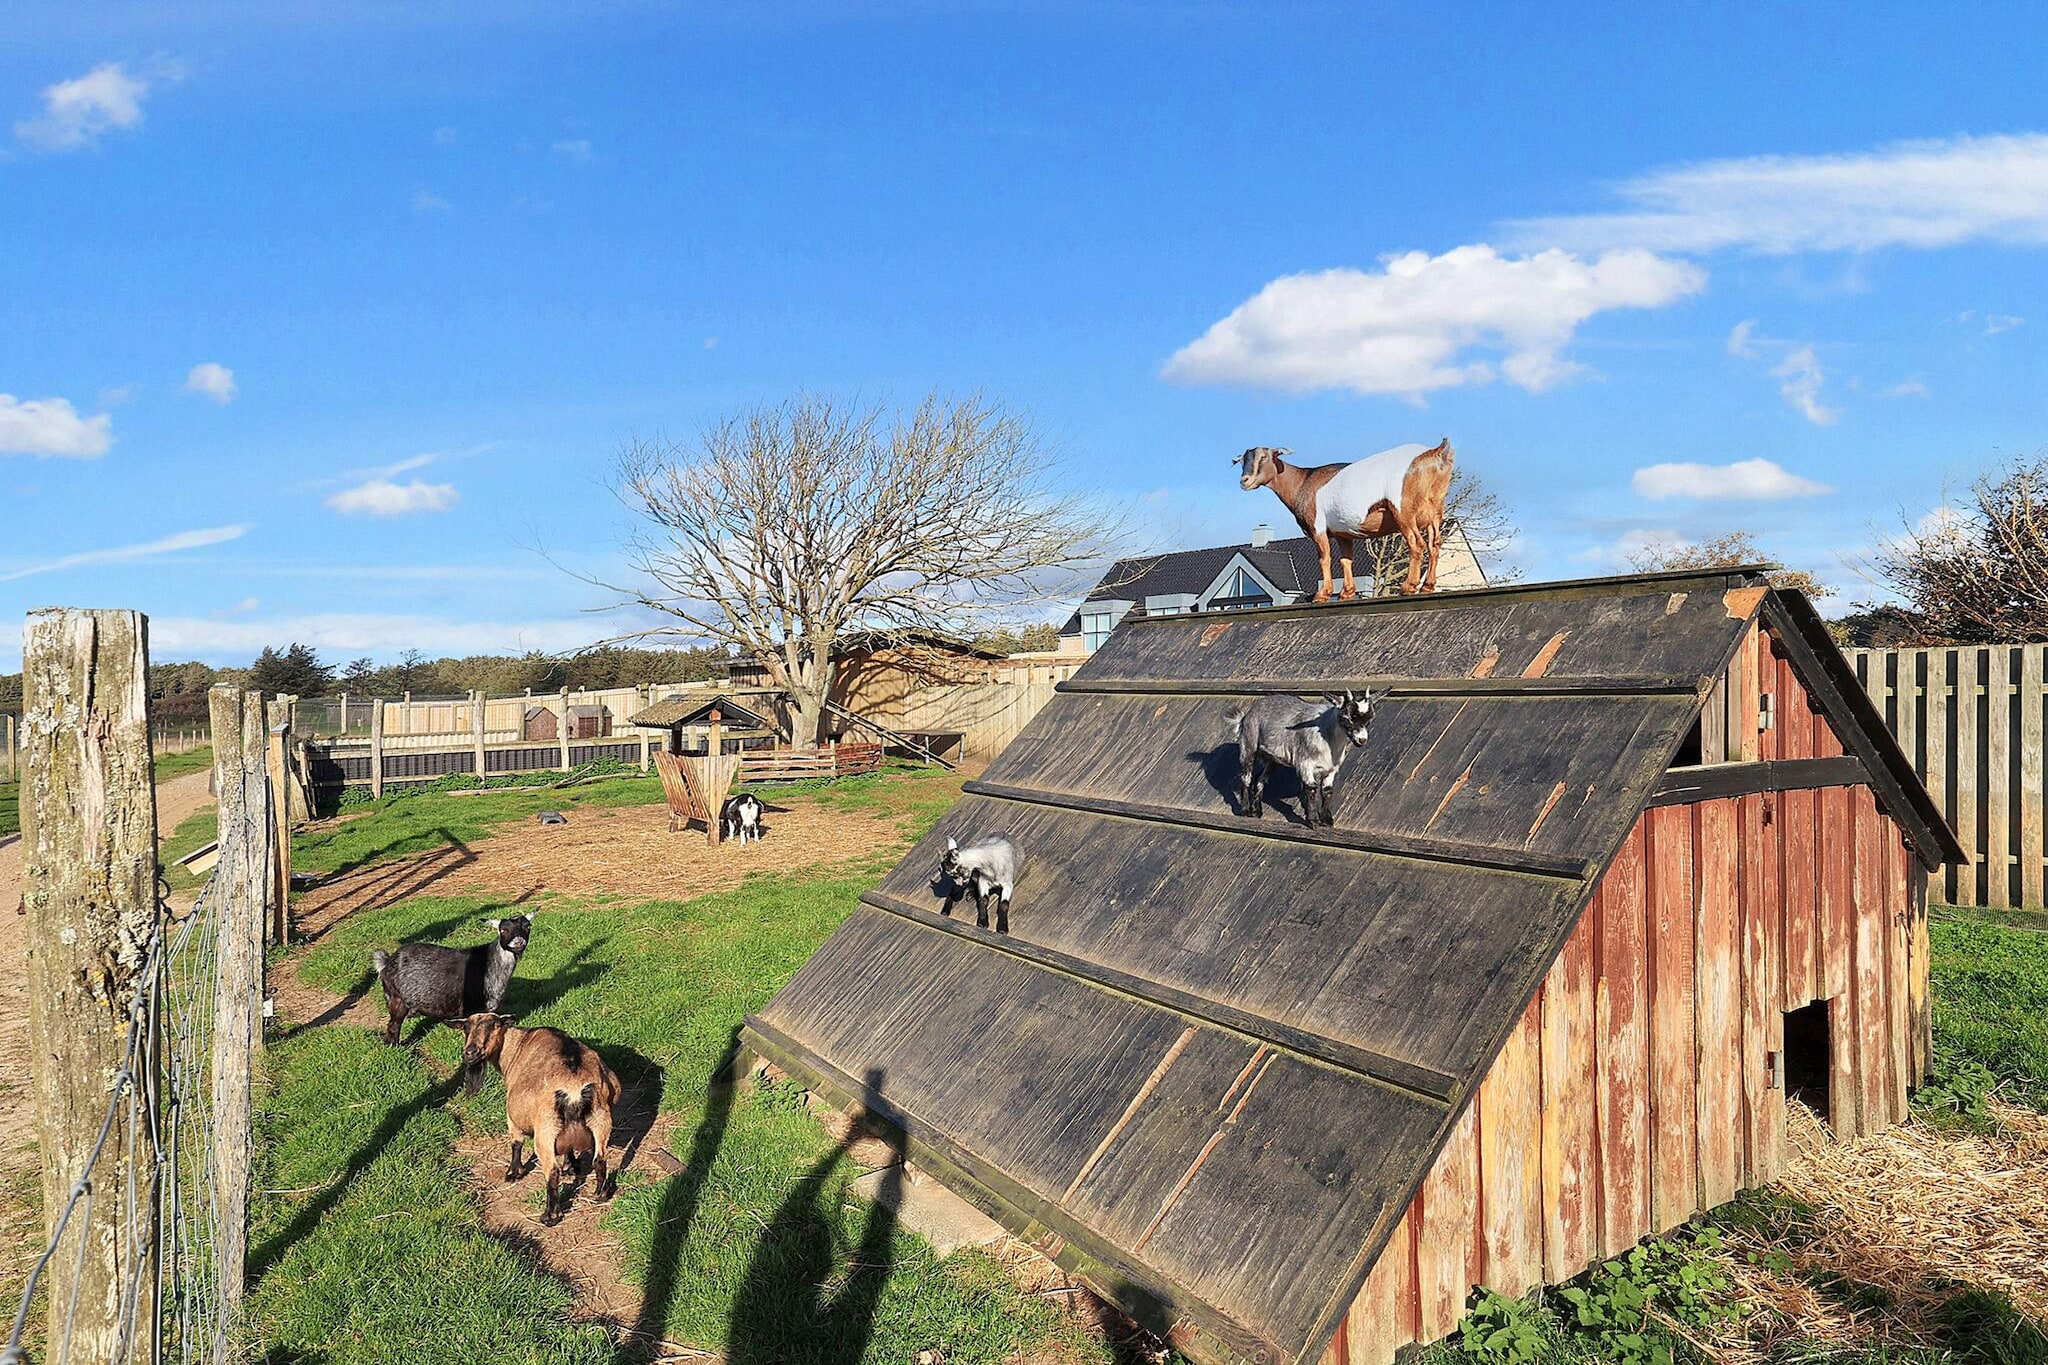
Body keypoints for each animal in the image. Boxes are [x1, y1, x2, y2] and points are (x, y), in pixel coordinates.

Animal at [372, 912, 536, 1039]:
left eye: (527, 926)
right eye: (503, 930)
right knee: (393, 1025)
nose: (518, 942)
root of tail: (387, 961)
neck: (489, 963)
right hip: (396, 998)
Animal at [456, 1015, 622, 1227]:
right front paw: (571, 1167)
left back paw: (550, 1216)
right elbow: (568, 1149)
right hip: (601, 1119)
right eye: (465, 1028)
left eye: (495, 1025)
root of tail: (575, 1090)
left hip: (545, 1130)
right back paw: (600, 1194)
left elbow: (516, 1143)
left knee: (552, 1172)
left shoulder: (512, 1118)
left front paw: (513, 1173)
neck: (515, 1045)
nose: (471, 1053)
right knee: (599, 1160)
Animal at [1228, 687, 1392, 826]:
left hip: (1272, 760)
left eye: (1370, 718)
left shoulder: (1331, 769)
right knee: (1246, 776)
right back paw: (1244, 810)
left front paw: (1327, 820)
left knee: (1260, 779)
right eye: (1348, 717)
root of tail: (1247, 715)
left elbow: (1327, 790)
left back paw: (1256, 812)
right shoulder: (1304, 763)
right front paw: (1313, 821)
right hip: (1249, 744)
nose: (1362, 740)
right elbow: (1311, 788)